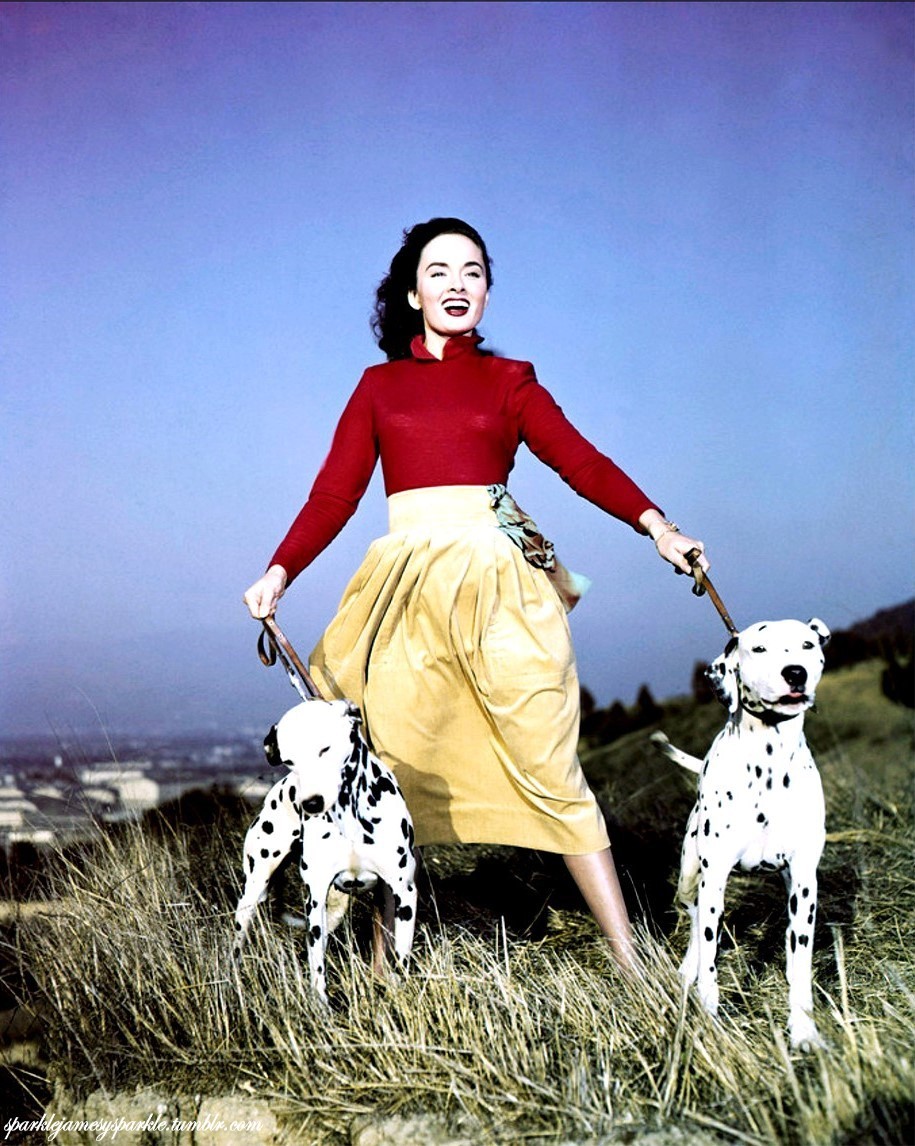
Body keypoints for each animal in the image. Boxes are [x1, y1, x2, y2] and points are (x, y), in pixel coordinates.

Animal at [232, 692, 419, 999]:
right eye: (289, 760)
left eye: (325, 749)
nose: (311, 803)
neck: (349, 816)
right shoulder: (316, 898)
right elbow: (316, 961)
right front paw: (319, 1004)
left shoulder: (404, 893)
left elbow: (402, 954)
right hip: (256, 889)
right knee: (236, 943)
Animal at [655, 618, 834, 1049]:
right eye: (759, 649)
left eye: (807, 645)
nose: (795, 673)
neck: (769, 761)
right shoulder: (715, 878)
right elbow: (709, 956)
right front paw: (709, 1018)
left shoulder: (804, 883)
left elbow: (800, 964)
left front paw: (803, 1031)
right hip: (690, 878)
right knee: (694, 919)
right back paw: (687, 970)